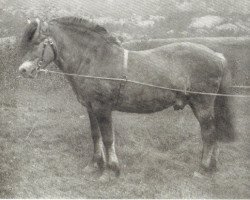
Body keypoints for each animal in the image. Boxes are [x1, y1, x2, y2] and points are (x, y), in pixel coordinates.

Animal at [18, 17, 235, 180]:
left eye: (37, 42)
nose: (23, 70)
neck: (94, 59)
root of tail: (218, 56)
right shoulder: (90, 108)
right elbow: (95, 135)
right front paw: (94, 165)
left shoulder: (103, 108)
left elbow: (108, 138)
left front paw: (110, 171)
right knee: (213, 133)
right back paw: (212, 166)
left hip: (202, 104)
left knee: (209, 134)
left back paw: (203, 169)